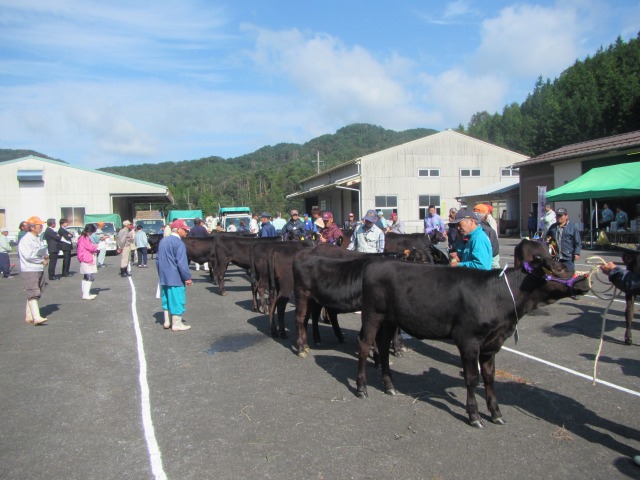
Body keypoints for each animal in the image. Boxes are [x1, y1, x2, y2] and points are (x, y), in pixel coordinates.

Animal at [356, 255, 592, 428]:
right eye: (558, 269)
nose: (585, 282)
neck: (500, 296)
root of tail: (377, 262)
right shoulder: (469, 340)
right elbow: (472, 378)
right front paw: (474, 415)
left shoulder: (491, 344)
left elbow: (489, 377)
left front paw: (496, 413)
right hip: (372, 314)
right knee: (365, 345)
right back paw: (361, 388)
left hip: (390, 320)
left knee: (383, 346)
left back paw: (389, 386)